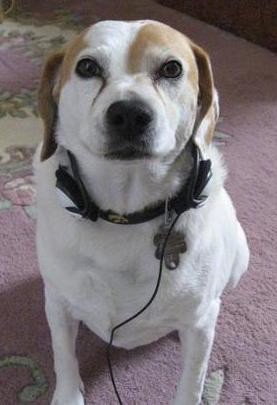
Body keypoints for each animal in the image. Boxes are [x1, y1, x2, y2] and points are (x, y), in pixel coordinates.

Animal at [33, 19, 249, 404]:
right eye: (87, 67)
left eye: (172, 69)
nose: (130, 113)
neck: (124, 211)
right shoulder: (57, 300)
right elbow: (63, 355)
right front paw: (68, 393)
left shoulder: (200, 324)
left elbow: (192, 381)